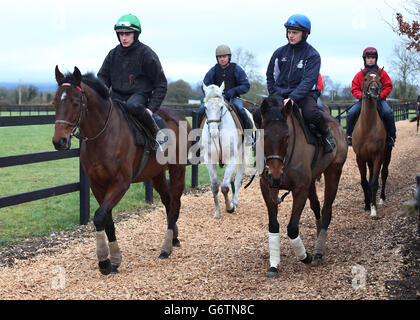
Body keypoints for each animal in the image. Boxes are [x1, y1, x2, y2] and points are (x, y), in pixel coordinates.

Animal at [51, 65, 193, 276]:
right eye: (54, 102)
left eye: (76, 103)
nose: (59, 141)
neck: (104, 135)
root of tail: (181, 117)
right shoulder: (97, 184)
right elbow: (107, 220)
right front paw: (115, 259)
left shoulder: (120, 183)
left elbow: (99, 216)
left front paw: (104, 262)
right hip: (157, 174)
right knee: (168, 202)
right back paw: (174, 238)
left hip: (178, 170)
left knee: (175, 204)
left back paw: (166, 248)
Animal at [253, 97, 348, 278]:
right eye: (264, 135)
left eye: (287, 136)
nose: (275, 175)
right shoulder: (267, 188)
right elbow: (273, 225)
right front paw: (273, 265)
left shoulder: (300, 190)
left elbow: (292, 228)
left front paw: (305, 256)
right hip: (312, 181)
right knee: (316, 207)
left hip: (334, 172)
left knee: (326, 210)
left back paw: (318, 251)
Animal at [352, 69, 394, 219]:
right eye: (365, 79)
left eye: (380, 79)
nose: (374, 90)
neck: (368, 126)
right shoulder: (360, 157)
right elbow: (365, 182)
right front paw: (366, 204)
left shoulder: (377, 155)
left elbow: (374, 183)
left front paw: (373, 209)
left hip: (386, 154)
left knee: (384, 174)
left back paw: (381, 199)